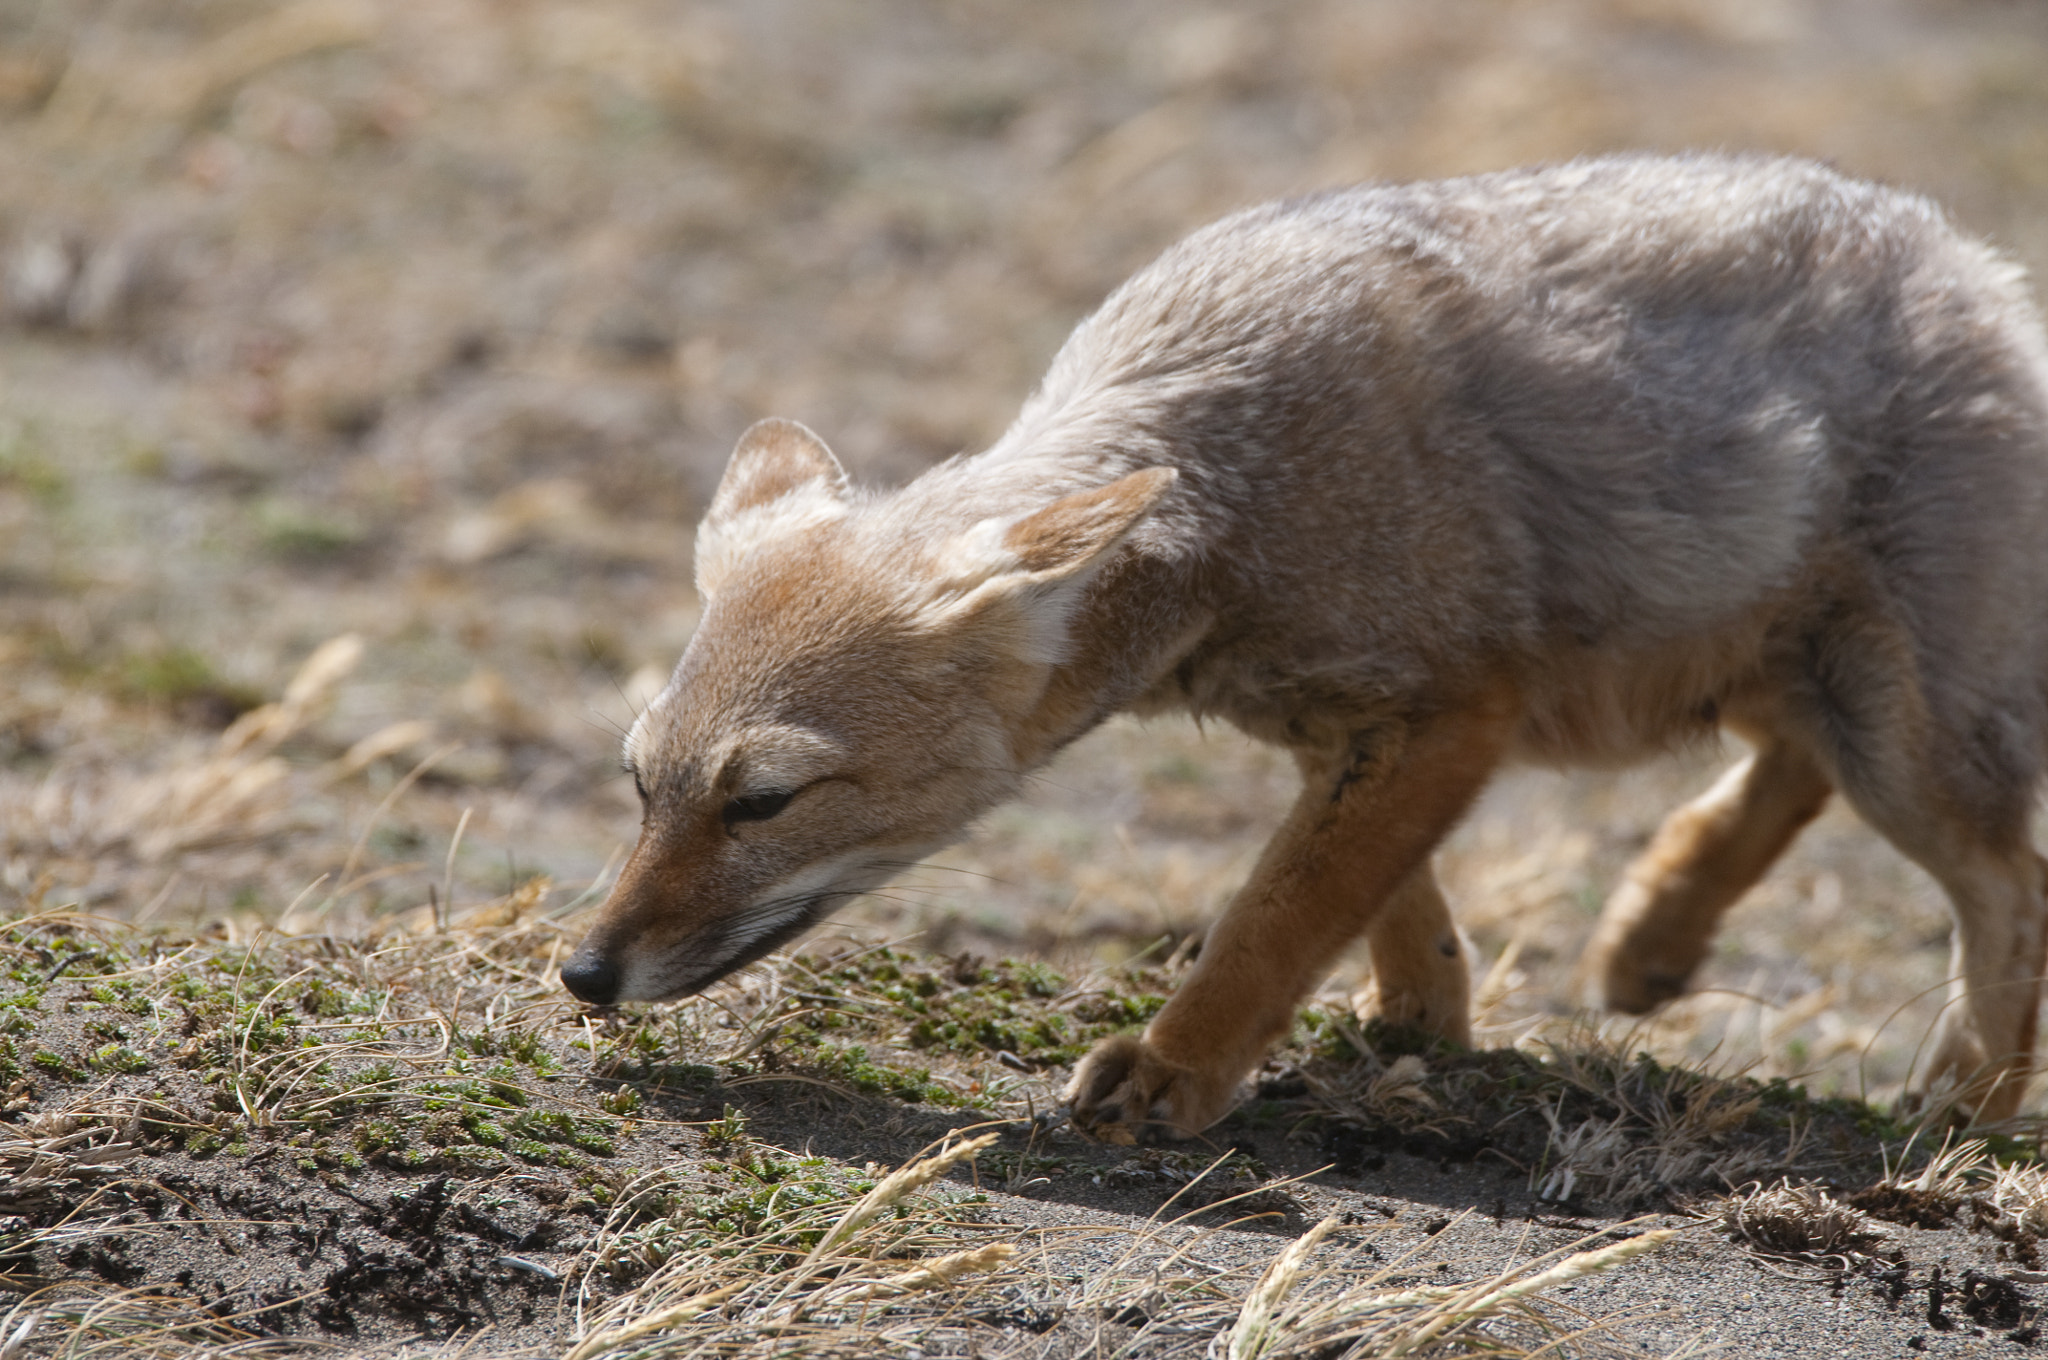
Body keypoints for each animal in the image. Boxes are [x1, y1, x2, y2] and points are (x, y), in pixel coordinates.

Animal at [560, 152, 2048, 1140]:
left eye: (762, 802)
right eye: (639, 784)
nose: (581, 972)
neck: (1234, 466)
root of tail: (1977, 264)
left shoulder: (1452, 712)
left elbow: (1275, 916)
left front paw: (1177, 1069)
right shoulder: (1359, 729)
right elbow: (1378, 894)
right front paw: (1419, 1021)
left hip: (1896, 741)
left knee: (2007, 882)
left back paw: (1962, 1102)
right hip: (1774, 678)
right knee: (1792, 772)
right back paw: (1654, 934)